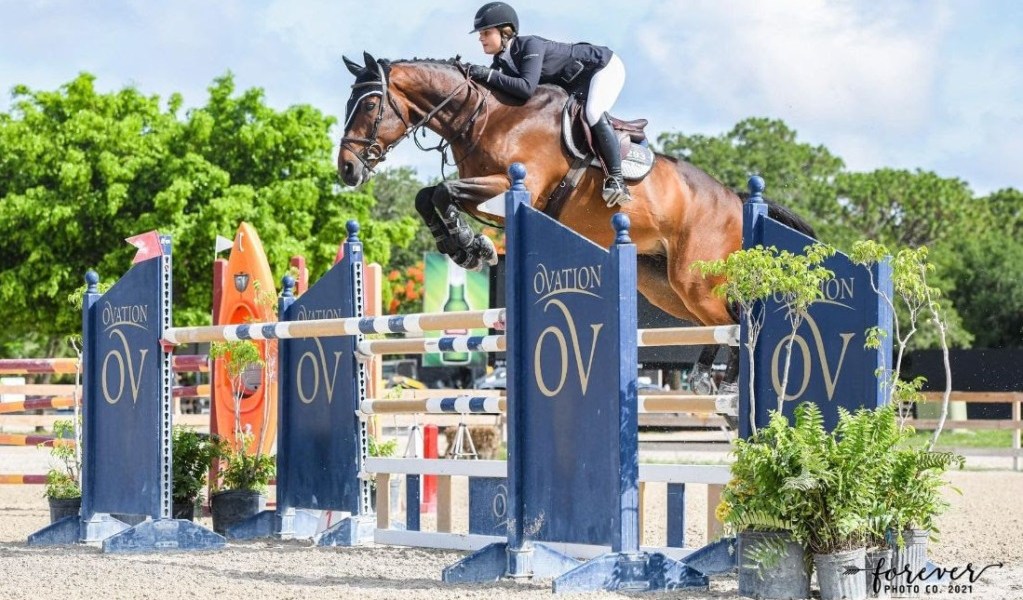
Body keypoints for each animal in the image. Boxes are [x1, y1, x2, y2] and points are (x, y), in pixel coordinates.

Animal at [337, 52, 815, 388]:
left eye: (371, 104)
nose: (347, 169)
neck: (485, 115)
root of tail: (736, 199)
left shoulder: (511, 185)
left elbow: (441, 192)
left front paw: (468, 245)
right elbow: (429, 195)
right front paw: (468, 245)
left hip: (696, 278)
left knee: (739, 315)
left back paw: (732, 382)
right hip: (665, 285)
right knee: (718, 321)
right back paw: (705, 376)